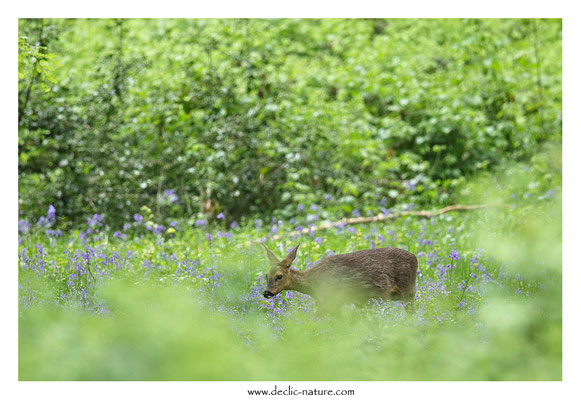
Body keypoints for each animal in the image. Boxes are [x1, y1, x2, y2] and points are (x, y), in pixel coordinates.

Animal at [262, 244, 416, 312]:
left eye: (279, 276)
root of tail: (415, 258)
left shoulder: (332, 301)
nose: (266, 292)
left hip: (408, 291)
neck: (313, 284)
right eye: (266, 275)